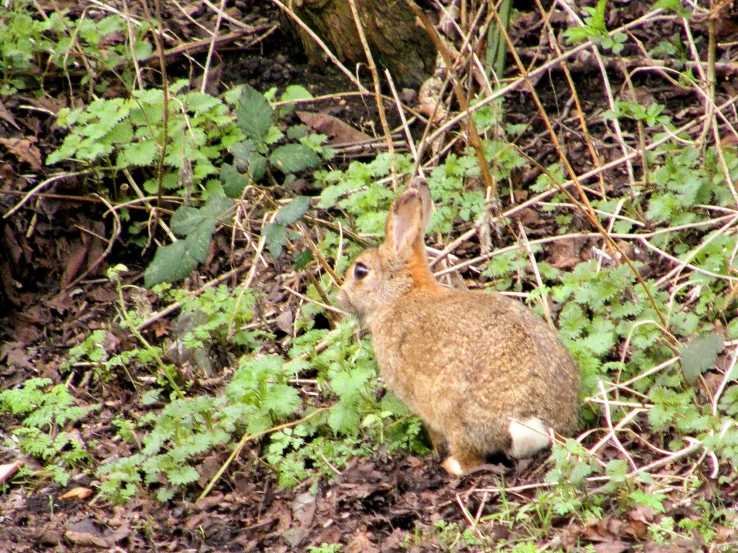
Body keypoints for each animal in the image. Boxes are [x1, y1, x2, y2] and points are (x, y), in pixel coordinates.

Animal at [336, 177, 576, 474]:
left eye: (360, 271)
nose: (340, 298)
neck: (401, 294)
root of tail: (536, 423)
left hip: (454, 412)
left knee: (469, 460)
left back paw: (449, 464)